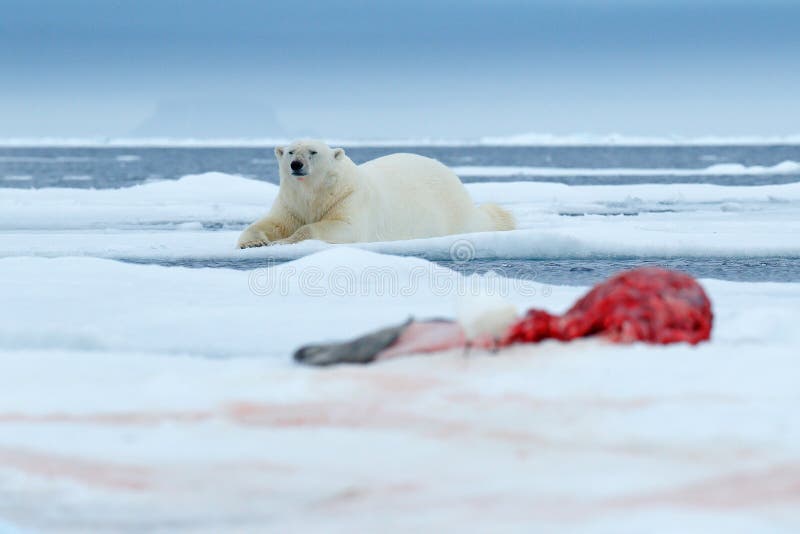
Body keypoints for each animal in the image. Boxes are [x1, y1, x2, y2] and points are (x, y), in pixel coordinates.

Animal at [234, 137, 516, 248]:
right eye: (291, 151)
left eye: (313, 151)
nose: (296, 165)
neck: (315, 194)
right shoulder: (290, 203)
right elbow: (272, 223)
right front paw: (254, 242)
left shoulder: (350, 198)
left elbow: (342, 227)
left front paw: (285, 241)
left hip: (451, 210)